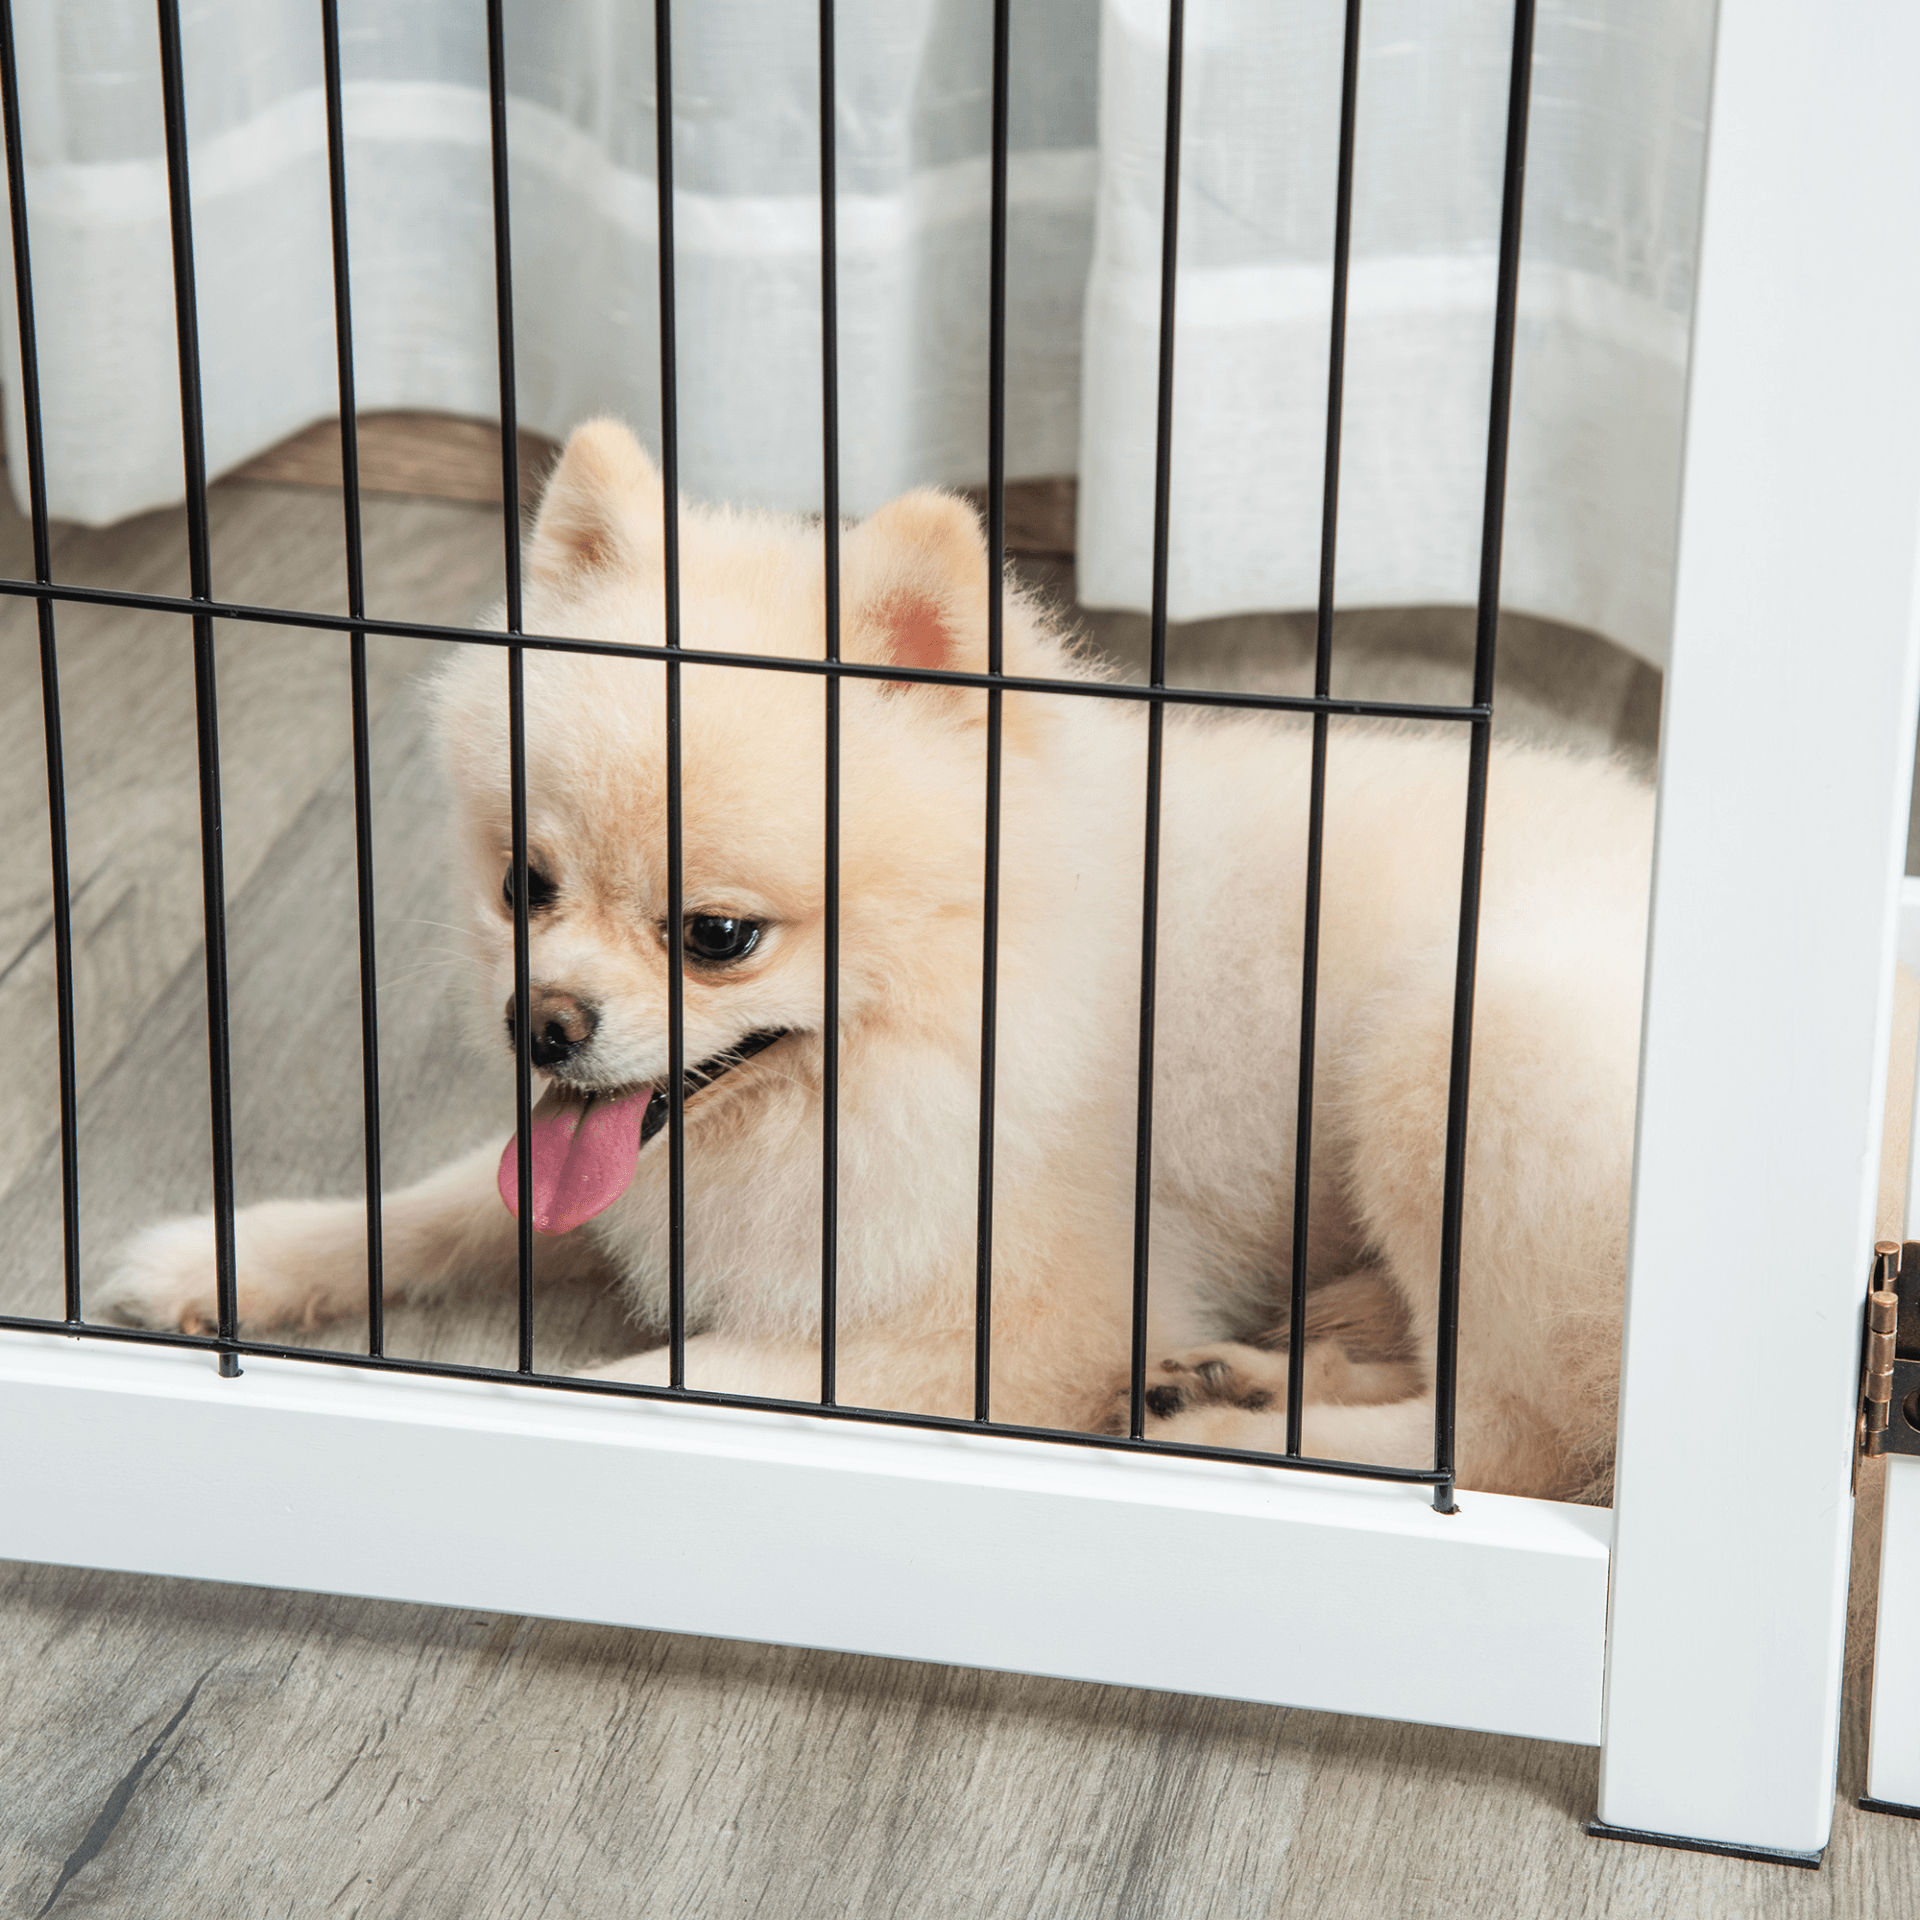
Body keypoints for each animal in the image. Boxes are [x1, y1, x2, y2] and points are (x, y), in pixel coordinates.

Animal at [105, 416, 1681, 1497]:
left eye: (718, 938)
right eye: (523, 886)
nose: (541, 1025)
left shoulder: (1001, 1320)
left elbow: (670, 1374)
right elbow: (447, 1199)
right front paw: (232, 1255)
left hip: (1456, 1047)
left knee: (1507, 1440)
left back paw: (1236, 1425)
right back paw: (1245, 1368)